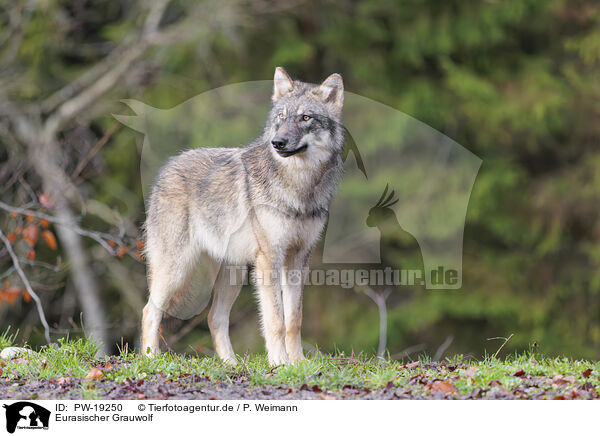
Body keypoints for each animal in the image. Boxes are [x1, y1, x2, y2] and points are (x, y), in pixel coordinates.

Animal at [141, 65, 344, 364]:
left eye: (305, 117)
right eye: (281, 117)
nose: (277, 142)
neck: (298, 186)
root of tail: (168, 166)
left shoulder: (298, 260)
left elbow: (294, 319)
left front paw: (298, 363)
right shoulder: (270, 259)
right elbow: (276, 320)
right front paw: (280, 363)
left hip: (231, 274)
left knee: (214, 318)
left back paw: (231, 364)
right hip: (177, 268)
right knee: (149, 310)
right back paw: (151, 358)